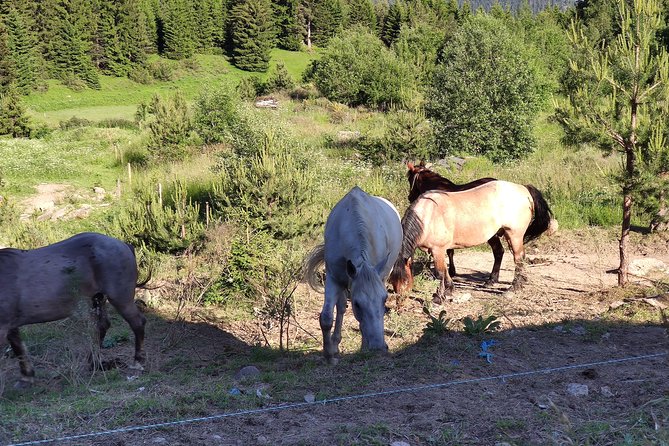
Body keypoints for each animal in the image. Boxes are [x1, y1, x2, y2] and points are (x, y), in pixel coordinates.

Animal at [0, 232, 148, 386]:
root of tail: (123, 244)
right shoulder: (10, 325)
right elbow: (18, 347)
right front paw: (26, 377)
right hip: (97, 299)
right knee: (101, 326)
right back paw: (94, 363)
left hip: (120, 299)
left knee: (137, 322)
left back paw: (137, 361)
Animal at [304, 186, 402, 364]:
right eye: (357, 304)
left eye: (385, 299)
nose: (379, 347)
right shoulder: (333, 278)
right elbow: (327, 317)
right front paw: (329, 355)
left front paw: (363, 347)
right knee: (341, 307)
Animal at [389, 180, 556, 303]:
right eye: (392, 282)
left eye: (405, 281)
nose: (400, 303)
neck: (428, 215)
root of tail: (523, 189)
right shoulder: (436, 250)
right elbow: (444, 271)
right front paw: (447, 290)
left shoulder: (438, 249)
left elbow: (440, 272)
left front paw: (439, 297)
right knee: (500, 253)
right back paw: (492, 280)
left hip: (514, 235)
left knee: (518, 258)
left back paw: (514, 288)